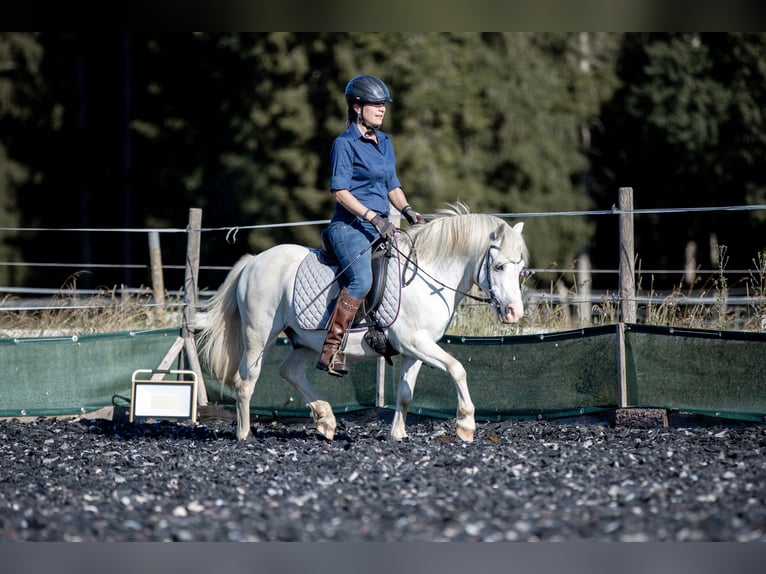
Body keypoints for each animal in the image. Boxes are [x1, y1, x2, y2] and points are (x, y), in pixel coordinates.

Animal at [198, 205, 532, 444]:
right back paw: (245, 435)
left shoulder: (415, 350)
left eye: (520, 269)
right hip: (259, 335)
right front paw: (465, 425)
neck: (429, 275)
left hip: (306, 341)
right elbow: (457, 368)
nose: (514, 313)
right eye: (499, 266)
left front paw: (398, 434)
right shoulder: (414, 342)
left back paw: (326, 420)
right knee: (246, 381)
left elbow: (405, 394)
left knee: (290, 371)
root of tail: (253, 262)